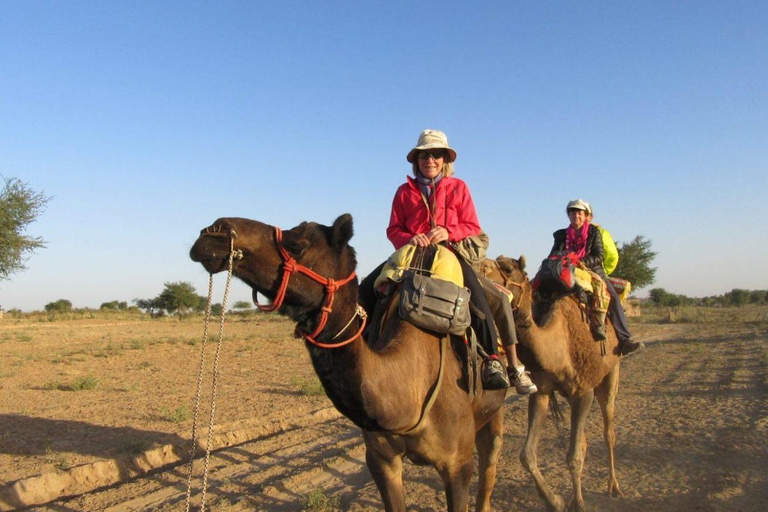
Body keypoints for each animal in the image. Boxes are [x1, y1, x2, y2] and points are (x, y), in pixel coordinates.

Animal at [189, 215, 508, 512]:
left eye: (297, 244)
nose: (213, 231)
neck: (411, 394)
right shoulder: (380, 459)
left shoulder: (458, 464)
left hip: (494, 412)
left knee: (490, 463)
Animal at [484, 256, 628, 512]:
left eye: (508, 268)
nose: (481, 267)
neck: (558, 346)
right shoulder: (541, 391)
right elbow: (527, 455)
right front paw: (556, 501)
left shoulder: (584, 392)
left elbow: (574, 457)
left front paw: (578, 504)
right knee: (584, 440)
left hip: (612, 370)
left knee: (608, 429)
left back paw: (614, 486)